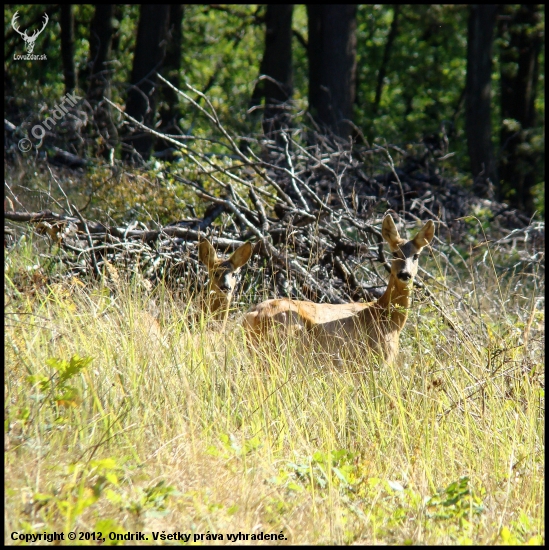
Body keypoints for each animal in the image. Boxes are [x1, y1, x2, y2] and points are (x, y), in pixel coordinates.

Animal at [242, 216, 434, 366]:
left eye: (416, 255)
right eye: (394, 253)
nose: (405, 274)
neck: (386, 318)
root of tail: (253, 315)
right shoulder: (376, 359)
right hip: (286, 345)